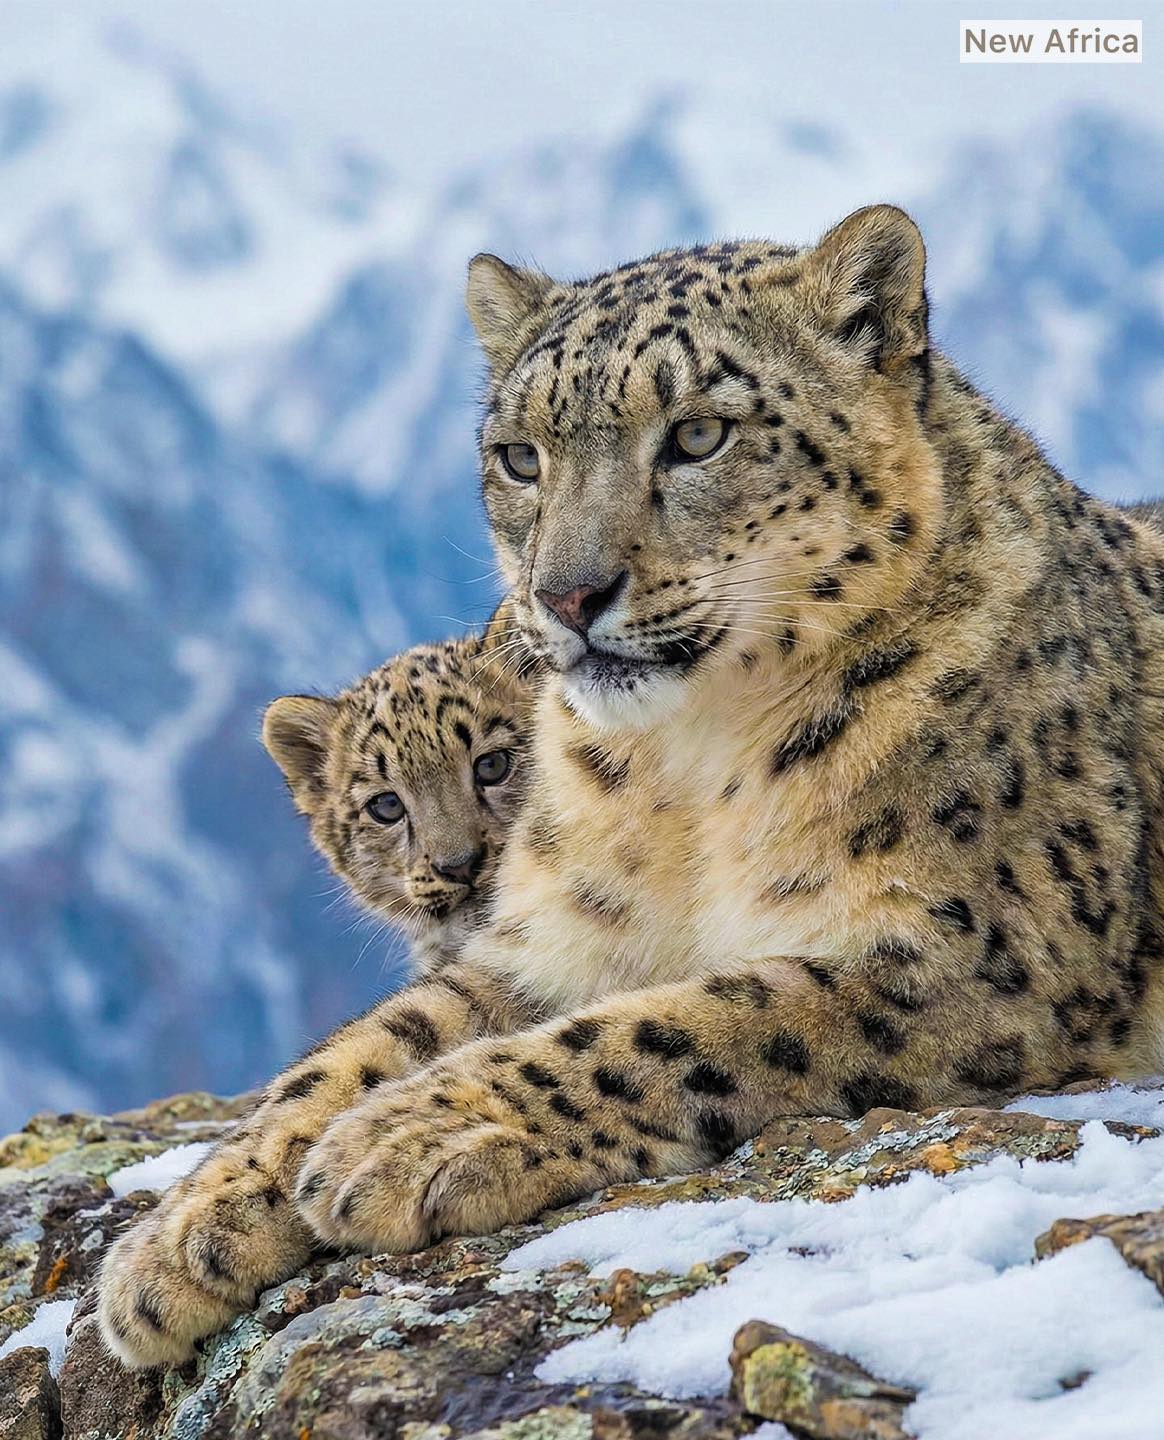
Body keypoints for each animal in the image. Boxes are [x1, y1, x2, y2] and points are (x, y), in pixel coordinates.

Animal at [99, 204, 1164, 1369]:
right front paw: (179, 1240)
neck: (686, 775)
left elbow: (686, 1024)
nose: (567, 594)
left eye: (699, 435)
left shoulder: (981, 952)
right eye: (520, 458)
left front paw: (407, 1139)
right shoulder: (546, 938)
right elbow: (367, 1044)